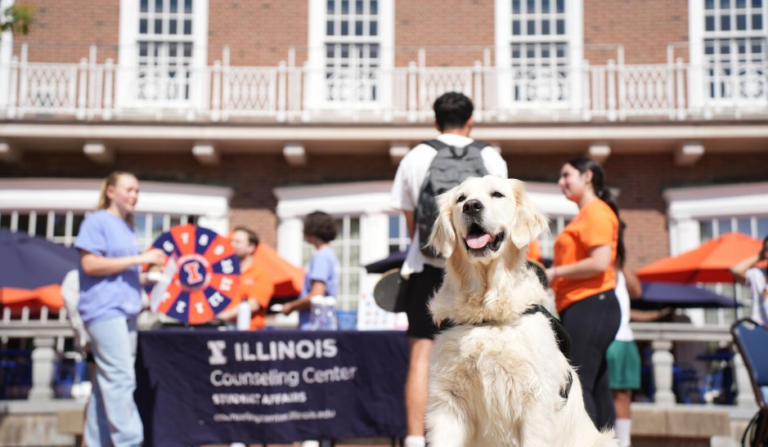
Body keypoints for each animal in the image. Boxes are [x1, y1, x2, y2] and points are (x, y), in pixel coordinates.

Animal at [426, 177, 616, 446]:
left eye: (497, 194)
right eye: (460, 199)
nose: (471, 206)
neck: (487, 316)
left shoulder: (534, 401)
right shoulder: (447, 401)